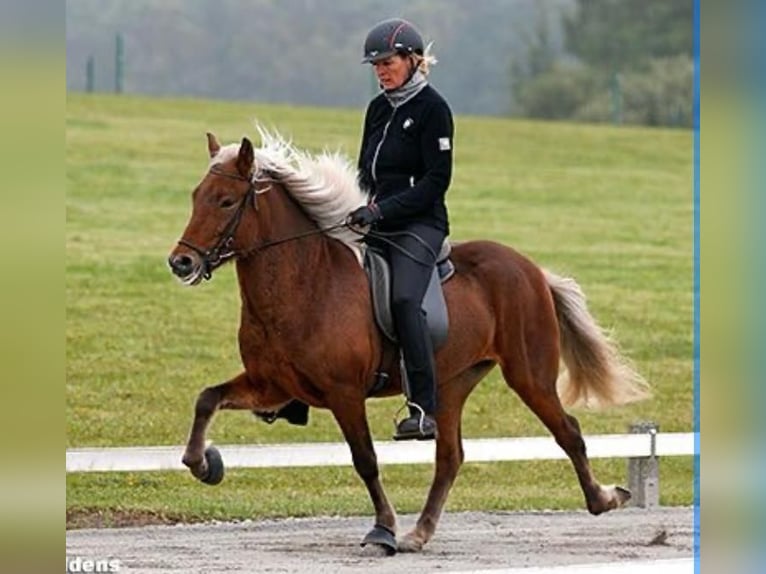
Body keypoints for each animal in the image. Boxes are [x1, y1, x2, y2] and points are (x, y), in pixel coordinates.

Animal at [167, 128, 649, 554]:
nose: (180, 262)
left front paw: (382, 530)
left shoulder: (344, 394)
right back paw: (419, 534)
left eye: (226, 201)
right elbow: (207, 399)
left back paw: (604, 499)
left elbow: (365, 459)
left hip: (528, 375)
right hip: (453, 382)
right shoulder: (272, 385)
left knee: (568, 432)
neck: (306, 282)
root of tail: (531, 270)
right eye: (195, 196)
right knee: (450, 457)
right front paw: (204, 464)